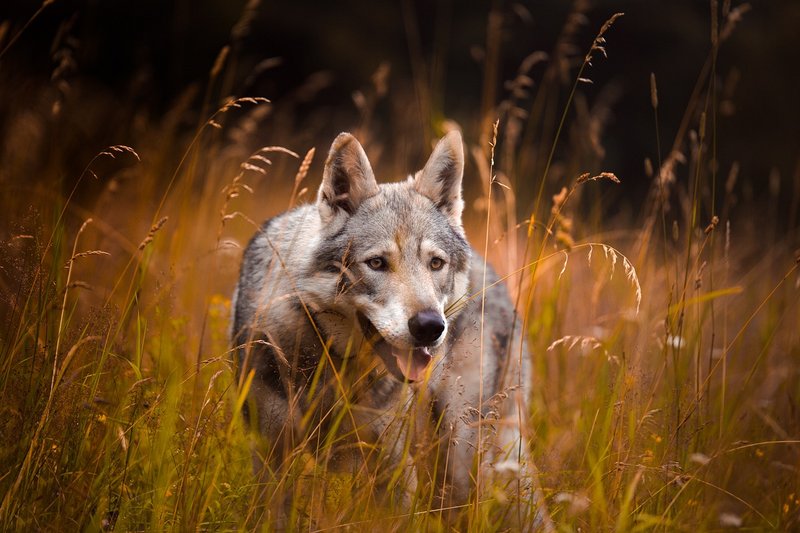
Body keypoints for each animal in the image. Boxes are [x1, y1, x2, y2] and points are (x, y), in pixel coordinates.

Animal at [231, 130, 552, 528]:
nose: (430, 327)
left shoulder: (394, 470)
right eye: (377, 263)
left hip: (461, 462)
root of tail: (496, 276)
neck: (336, 370)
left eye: (435, 263)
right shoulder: (271, 459)